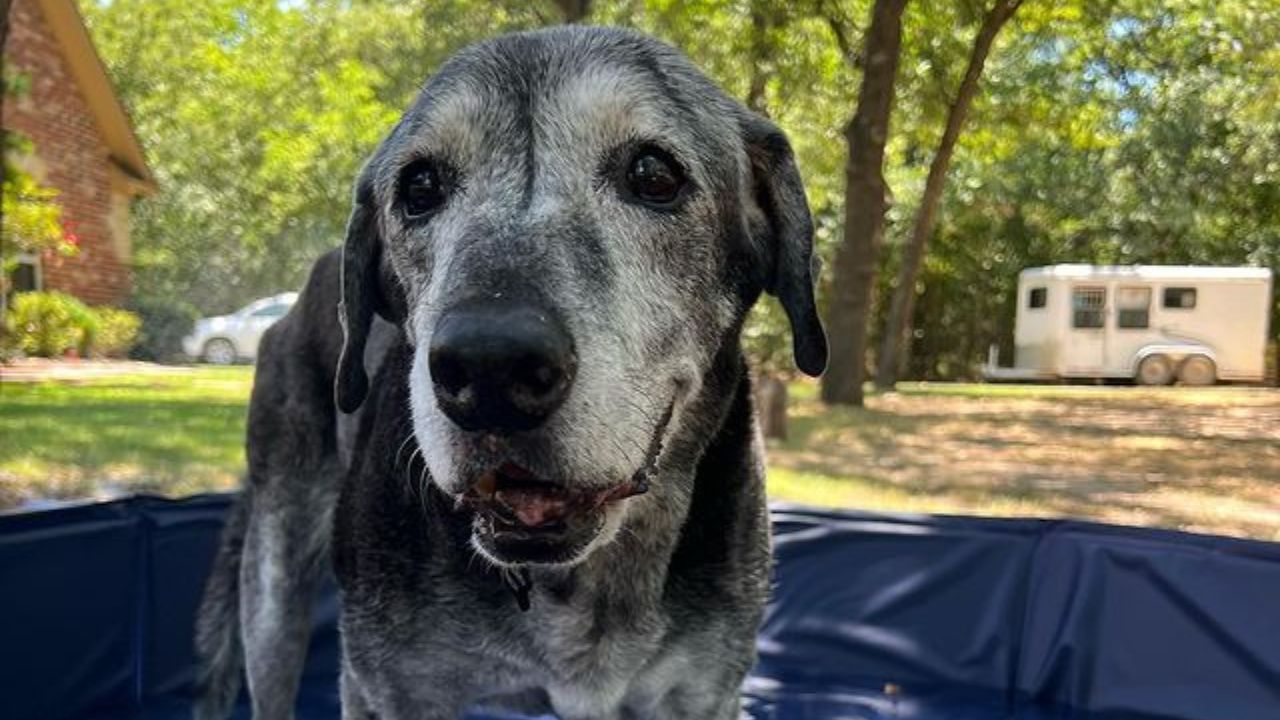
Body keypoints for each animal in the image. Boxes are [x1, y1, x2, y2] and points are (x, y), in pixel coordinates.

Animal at [194, 23, 824, 717]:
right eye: (419, 188)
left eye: (654, 173)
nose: (489, 367)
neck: (575, 580)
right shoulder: (388, 687)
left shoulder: (702, 691)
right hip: (273, 583)